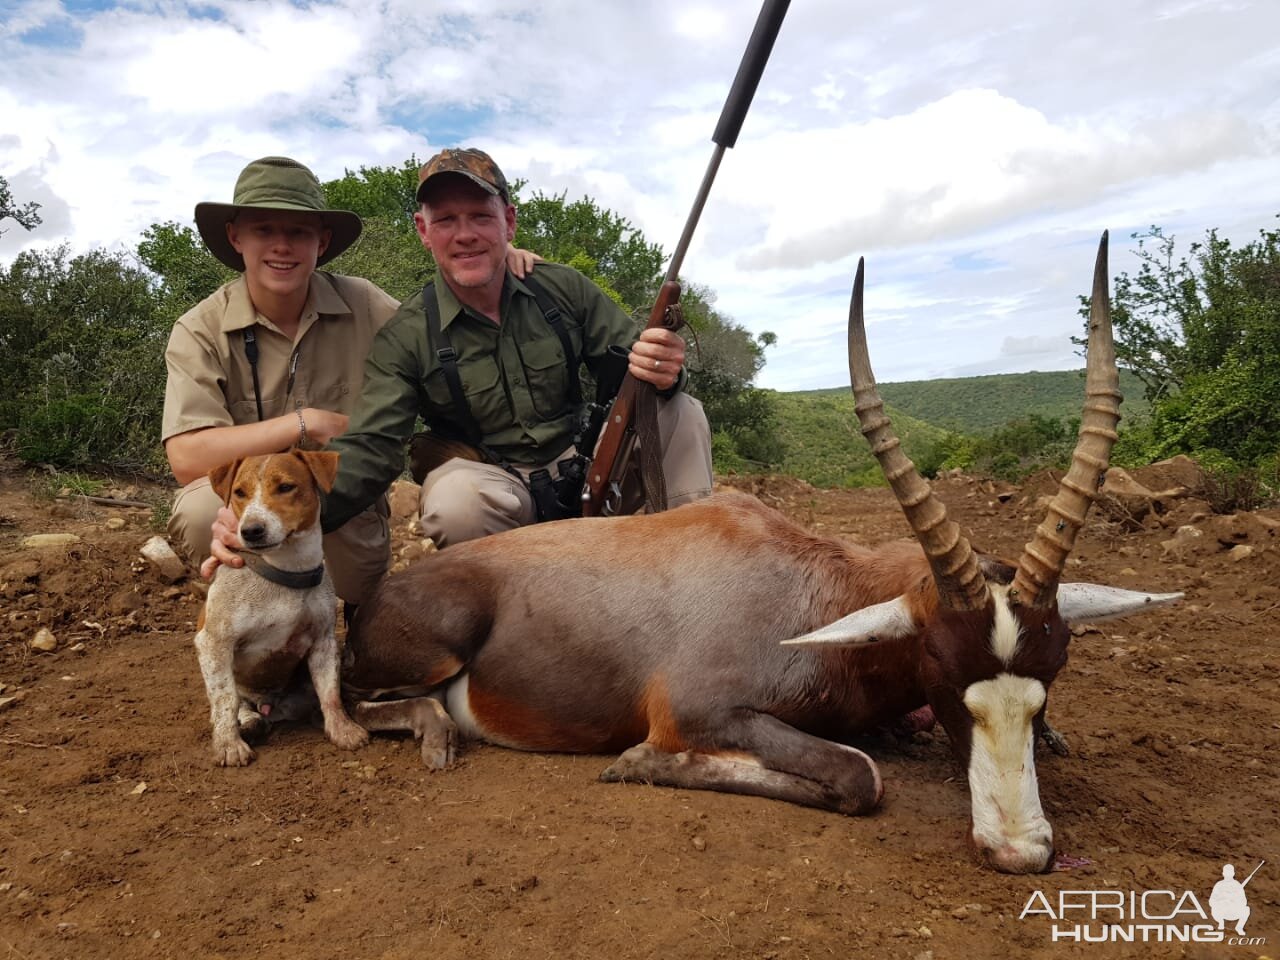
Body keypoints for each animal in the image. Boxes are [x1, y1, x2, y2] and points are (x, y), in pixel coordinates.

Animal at [340, 232, 1177, 870]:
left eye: (1053, 669)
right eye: (941, 666)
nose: (1019, 851)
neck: (810, 593)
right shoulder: (700, 709)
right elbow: (860, 774)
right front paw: (639, 762)